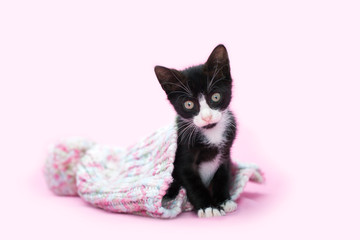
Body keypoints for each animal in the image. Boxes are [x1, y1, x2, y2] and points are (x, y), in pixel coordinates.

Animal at [154, 44, 236, 218]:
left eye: (216, 97)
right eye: (189, 104)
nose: (207, 116)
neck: (211, 132)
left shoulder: (226, 153)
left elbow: (222, 176)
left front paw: (224, 200)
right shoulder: (182, 158)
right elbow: (193, 184)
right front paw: (208, 207)